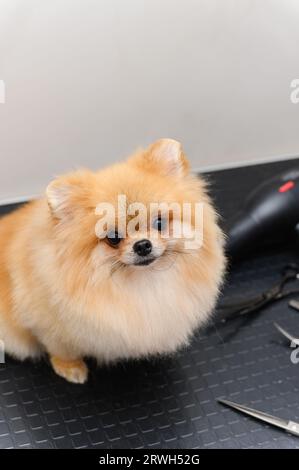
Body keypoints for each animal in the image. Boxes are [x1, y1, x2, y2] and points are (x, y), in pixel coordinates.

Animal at [0, 139, 226, 382]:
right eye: (113, 238)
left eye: (159, 222)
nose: (143, 245)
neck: (140, 283)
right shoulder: (44, 319)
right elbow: (60, 347)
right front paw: (70, 367)